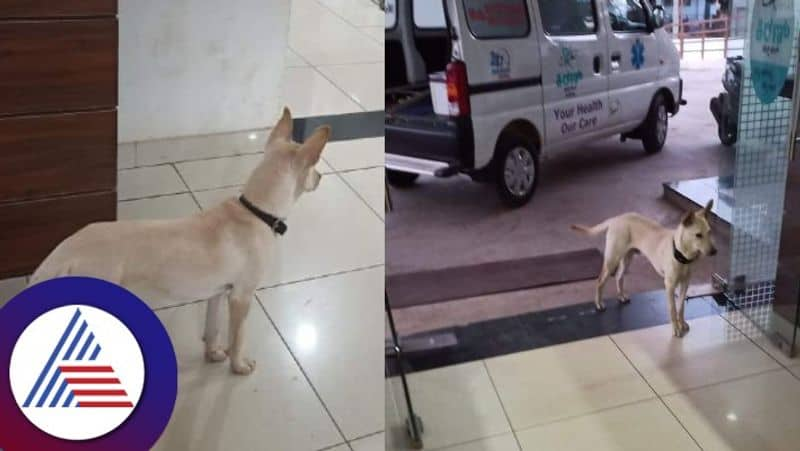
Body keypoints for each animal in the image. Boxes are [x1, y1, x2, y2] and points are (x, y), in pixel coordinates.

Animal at [30, 108, 332, 374]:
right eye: (314, 167)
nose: (321, 176)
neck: (255, 211)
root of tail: (64, 251)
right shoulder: (241, 297)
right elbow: (238, 338)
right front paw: (239, 366)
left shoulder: (217, 292)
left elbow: (212, 329)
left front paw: (212, 354)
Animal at [572, 200, 716, 338]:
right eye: (698, 235)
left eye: (709, 232)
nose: (714, 251)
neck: (681, 254)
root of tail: (616, 218)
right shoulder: (670, 286)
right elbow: (673, 309)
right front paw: (675, 328)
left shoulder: (685, 284)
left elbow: (680, 308)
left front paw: (681, 323)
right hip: (612, 260)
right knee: (600, 281)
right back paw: (598, 304)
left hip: (627, 259)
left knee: (619, 276)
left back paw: (621, 296)